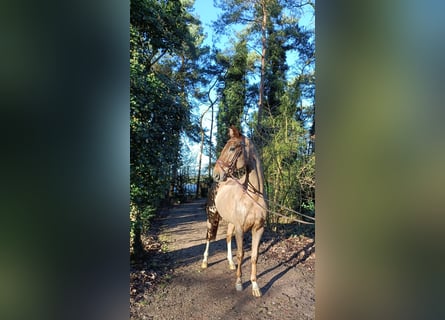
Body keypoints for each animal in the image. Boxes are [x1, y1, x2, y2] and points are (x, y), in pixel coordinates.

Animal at [201, 125, 268, 298]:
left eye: (232, 148)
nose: (216, 174)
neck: (253, 198)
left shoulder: (258, 229)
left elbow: (254, 256)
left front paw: (255, 286)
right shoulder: (240, 228)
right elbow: (241, 254)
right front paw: (239, 283)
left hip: (229, 222)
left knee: (227, 237)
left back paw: (230, 263)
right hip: (212, 217)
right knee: (208, 238)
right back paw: (204, 262)